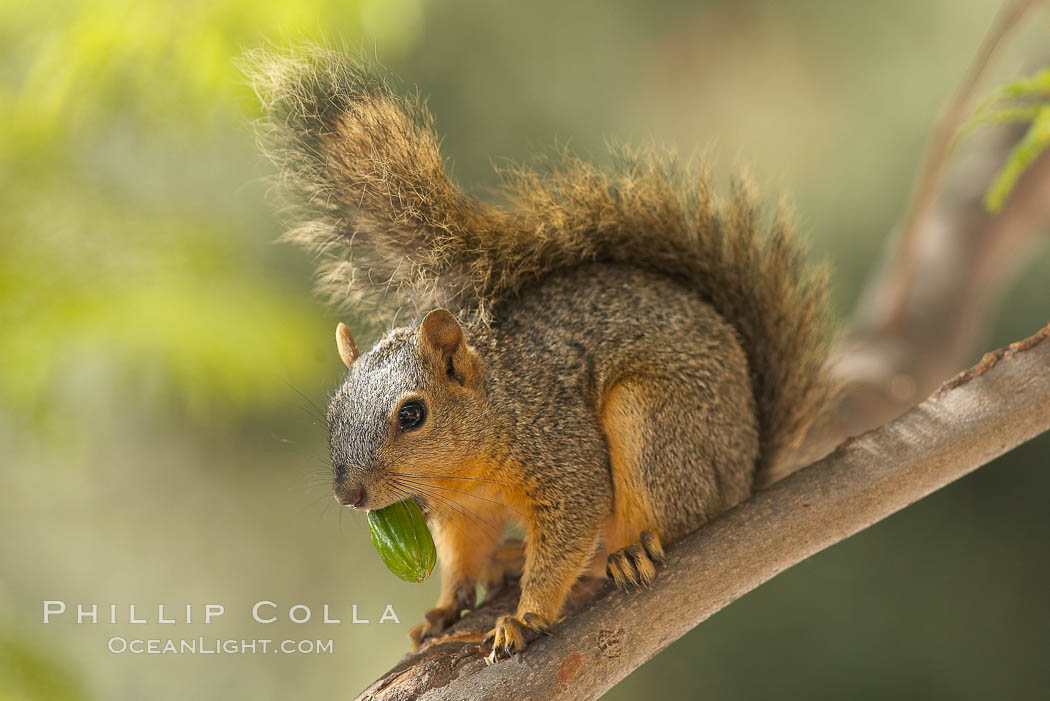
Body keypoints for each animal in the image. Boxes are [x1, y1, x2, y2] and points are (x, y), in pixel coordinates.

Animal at [247, 45, 835, 663]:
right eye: (332, 415)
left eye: (412, 414)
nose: (350, 495)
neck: (467, 463)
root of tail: (748, 470)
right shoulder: (461, 513)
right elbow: (461, 555)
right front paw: (446, 604)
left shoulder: (561, 451)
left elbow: (567, 533)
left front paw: (526, 617)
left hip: (656, 424)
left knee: (673, 515)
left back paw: (625, 552)